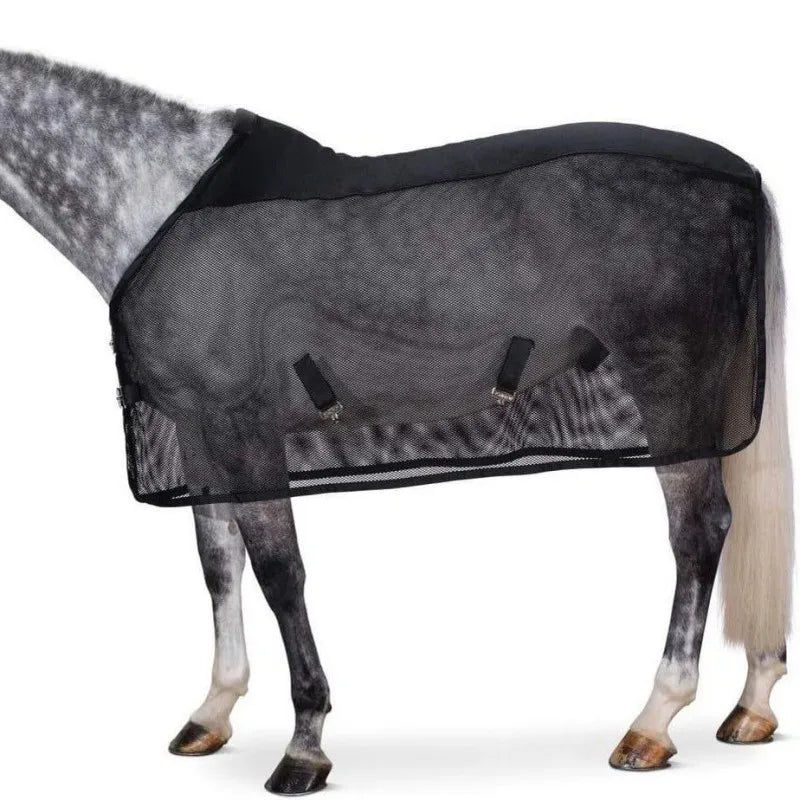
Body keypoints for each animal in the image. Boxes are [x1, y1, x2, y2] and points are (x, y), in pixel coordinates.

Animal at [0, 49, 792, 794]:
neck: (156, 197)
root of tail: (744, 178)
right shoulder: (200, 432)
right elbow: (218, 564)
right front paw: (212, 712)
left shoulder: (244, 427)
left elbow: (280, 573)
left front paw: (304, 746)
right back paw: (751, 705)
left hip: (672, 383)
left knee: (700, 531)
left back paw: (654, 722)